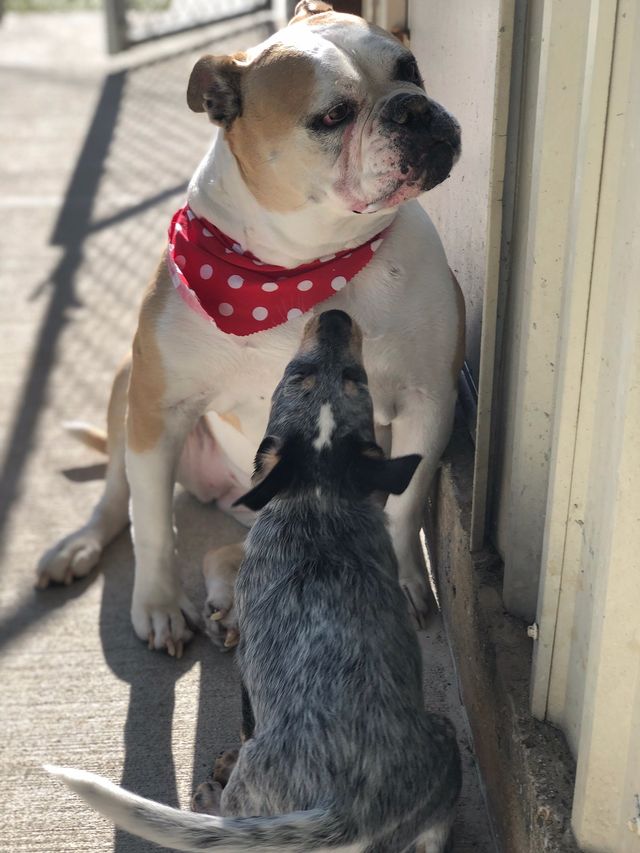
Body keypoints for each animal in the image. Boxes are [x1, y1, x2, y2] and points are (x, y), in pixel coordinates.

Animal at [47, 312, 462, 852]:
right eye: (355, 379)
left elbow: (245, 720)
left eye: (292, 375)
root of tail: (349, 812)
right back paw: (81, 551)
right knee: (127, 500)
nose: (334, 315)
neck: (319, 495)